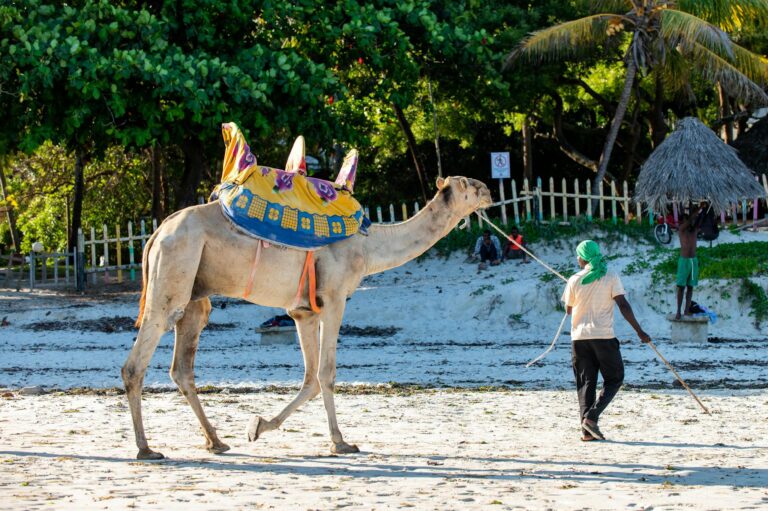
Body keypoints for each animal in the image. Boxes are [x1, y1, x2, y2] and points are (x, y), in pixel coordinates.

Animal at [122, 175, 492, 459]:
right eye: (470, 185)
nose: (488, 190)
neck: (368, 247)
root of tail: (156, 234)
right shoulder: (334, 299)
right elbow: (326, 373)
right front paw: (341, 443)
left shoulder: (303, 312)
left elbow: (310, 377)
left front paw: (258, 427)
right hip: (173, 274)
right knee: (137, 362)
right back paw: (146, 449)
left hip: (195, 294)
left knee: (182, 367)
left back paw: (216, 441)